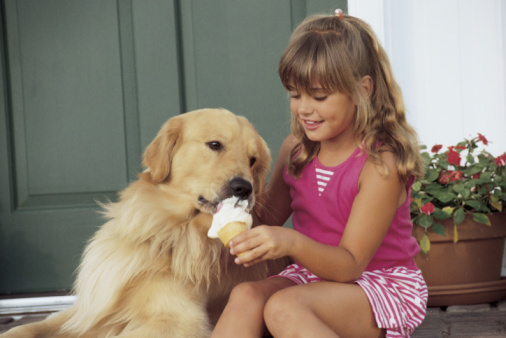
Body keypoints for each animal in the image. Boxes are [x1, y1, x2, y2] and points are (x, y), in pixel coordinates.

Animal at [1, 109, 288, 338]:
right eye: (215, 144)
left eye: (253, 160)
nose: (244, 188)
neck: (161, 230)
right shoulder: (91, 308)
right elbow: (27, 327)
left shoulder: (179, 321)